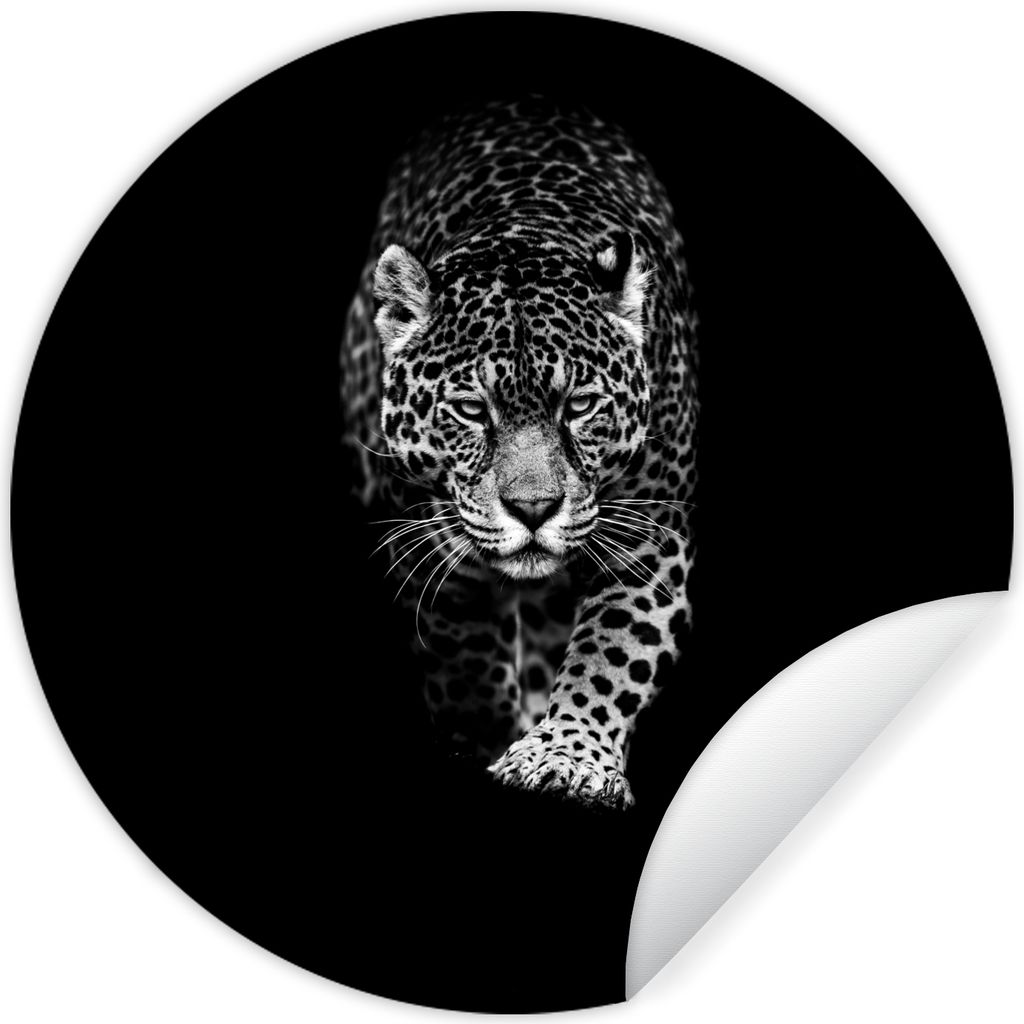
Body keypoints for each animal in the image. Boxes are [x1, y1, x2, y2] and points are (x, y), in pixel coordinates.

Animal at [340, 96, 697, 810]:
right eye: (473, 410)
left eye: (580, 406)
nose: (534, 510)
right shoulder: (431, 551)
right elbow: (465, 660)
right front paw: (484, 743)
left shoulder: (648, 543)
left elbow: (613, 650)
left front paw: (568, 756)